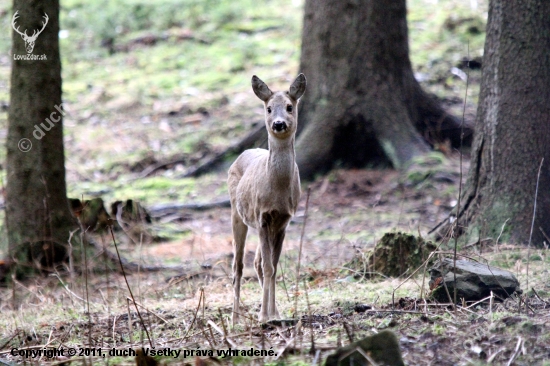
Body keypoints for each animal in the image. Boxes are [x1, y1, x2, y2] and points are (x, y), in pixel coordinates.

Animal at [227, 73, 306, 324]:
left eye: (290, 106)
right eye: (269, 108)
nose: (278, 124)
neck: (277, 191)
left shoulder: (283, 220)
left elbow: (273, 266)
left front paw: (274, 314)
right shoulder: (262, 216)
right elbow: (270, 266)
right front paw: (263, 316)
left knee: (257, 263)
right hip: (237, 213)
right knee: (238, 266)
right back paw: (235, 319)